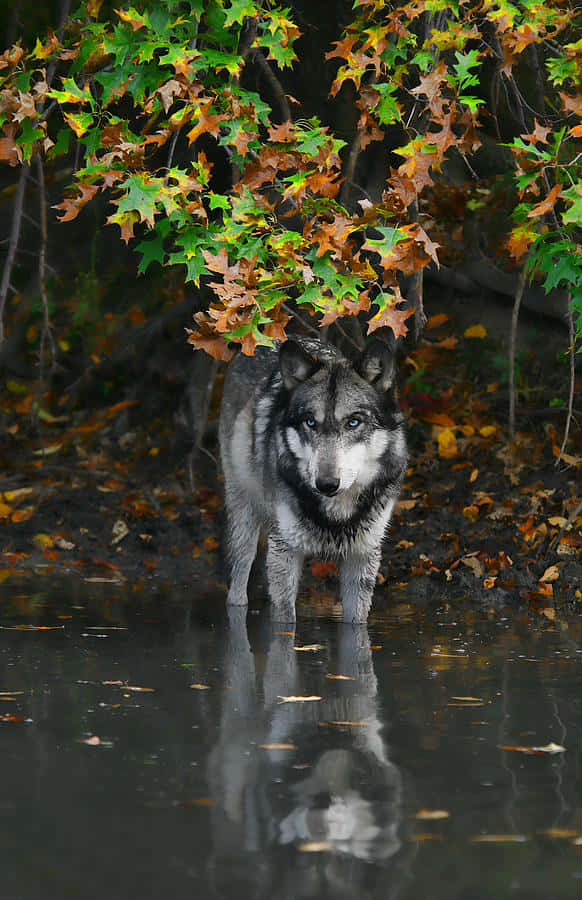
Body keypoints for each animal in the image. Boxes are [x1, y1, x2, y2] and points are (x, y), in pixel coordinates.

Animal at [218, 336, 408, 622]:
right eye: (310, 422)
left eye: (353, 422)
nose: (327, 484)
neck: (336, 515)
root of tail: (264, 340)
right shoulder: (284, 552)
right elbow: (285, 625)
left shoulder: (362, 556)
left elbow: (357, 627)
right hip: (244, 513)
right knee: (237, 587)